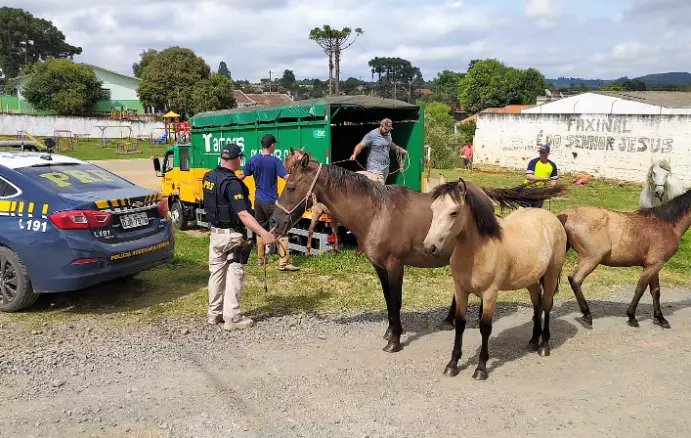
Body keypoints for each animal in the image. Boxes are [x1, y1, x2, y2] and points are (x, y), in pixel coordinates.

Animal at [270, 152, 568, 354]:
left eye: (292, 186)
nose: (274, 222)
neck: (376, 212)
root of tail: (480, 191)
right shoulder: (379, 266)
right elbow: (388, 301)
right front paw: (390, 332)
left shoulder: (395, 265)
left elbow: (396, 302)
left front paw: (395, 341)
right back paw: (449, 320)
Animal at [424, 178, 572, 380]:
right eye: (432, 209)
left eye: (453, 212)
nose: (429, 247)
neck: (477, 250)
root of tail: (552, 218)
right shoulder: (461, 290)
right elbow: (460, 324)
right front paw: (452, 365)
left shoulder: (489, 294)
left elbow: (485, 327)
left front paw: (481, 369)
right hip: (531, 280)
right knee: (537, 304)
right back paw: (533, 341)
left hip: (550, 275)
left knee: (547, 305)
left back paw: (544, 346)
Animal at [560, 185, 691, 328]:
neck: (666, 225)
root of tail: (567, 214)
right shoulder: (653, 265)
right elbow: (640, 289)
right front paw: (632, 317)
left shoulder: (654, 264)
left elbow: (655, 291)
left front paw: (661, 319)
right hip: (591, 259)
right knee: (575, 280)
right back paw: (587, 315)